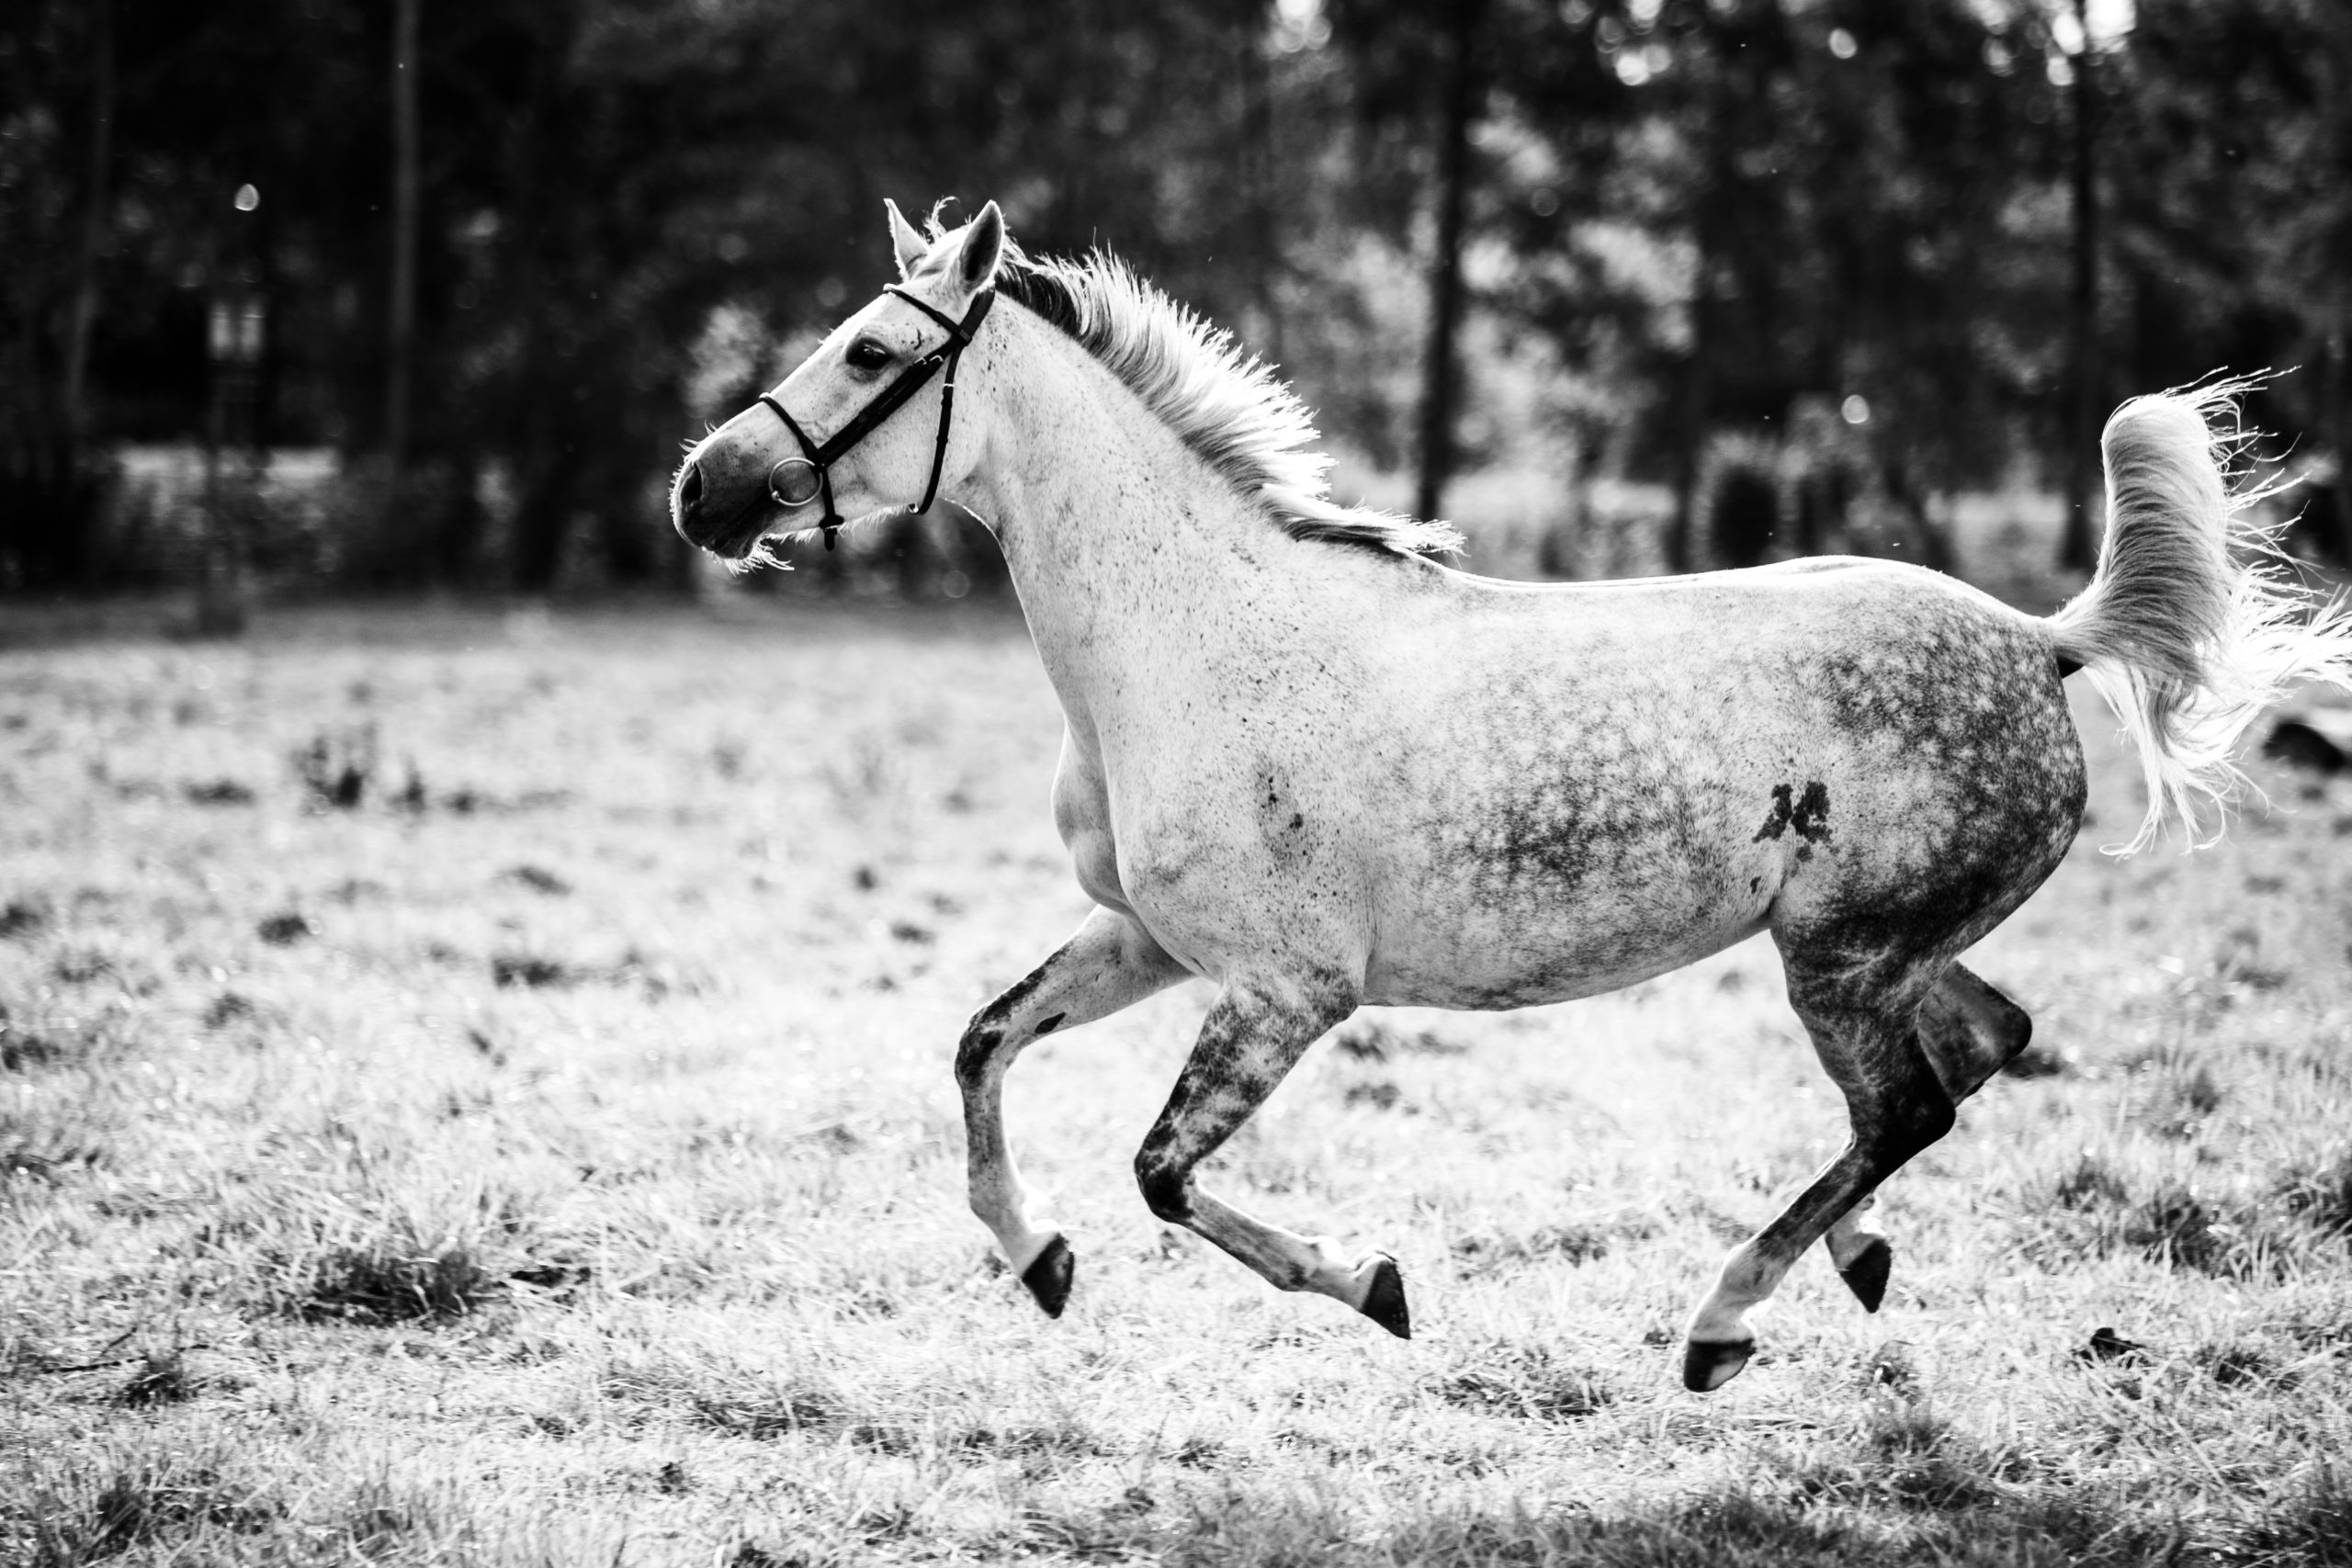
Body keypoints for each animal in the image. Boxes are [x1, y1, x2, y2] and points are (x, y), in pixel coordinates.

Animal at [668, 202, 2352, 1392]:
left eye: (870, 356)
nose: (703, 489)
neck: (1195, 636)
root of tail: (2041, 638)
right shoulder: (1143, 942)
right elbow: (982, 1045)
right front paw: (1039, 1264)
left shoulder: (1286, 990)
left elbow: (1163, 1173)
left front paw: (1373, 1284)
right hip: (1878, 947)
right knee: (1977, 1052)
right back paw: (1849, 1265)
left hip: (1839, 956)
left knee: (1908, 1103)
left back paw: (1718, 1322)